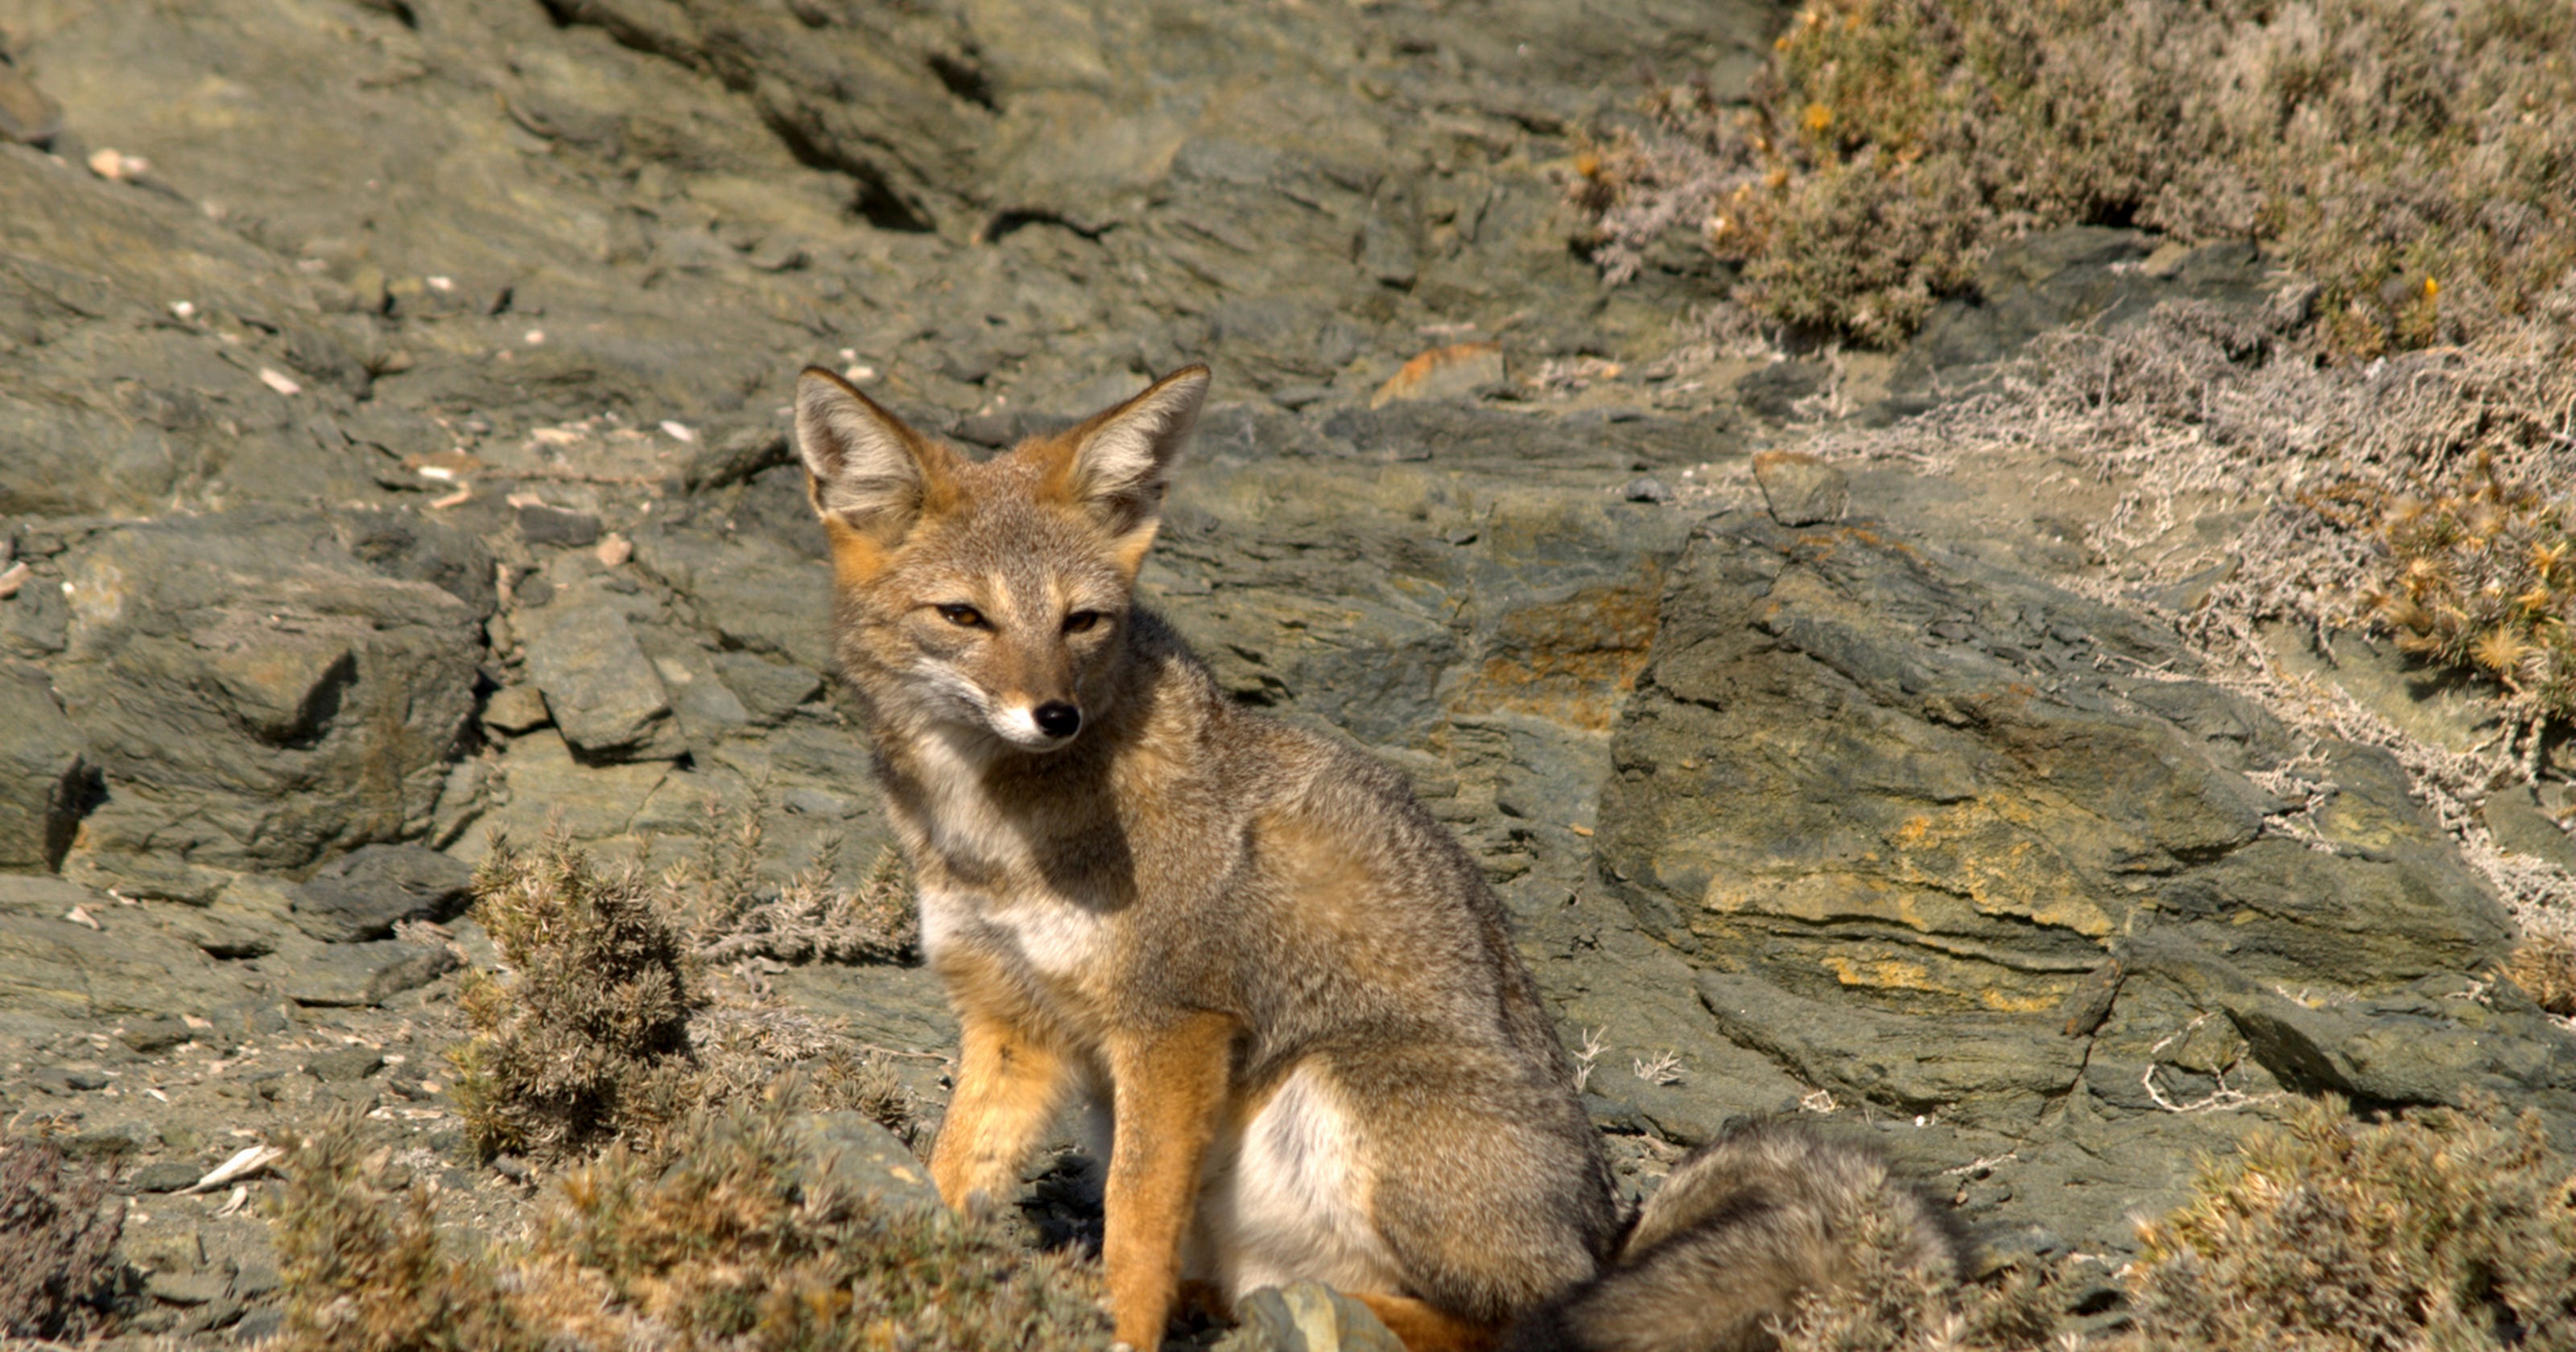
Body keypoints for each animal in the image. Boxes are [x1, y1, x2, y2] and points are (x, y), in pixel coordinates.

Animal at [789, 362, 1967, 1352]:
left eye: (1082, 622)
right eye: (964, 616)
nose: (1055, 716)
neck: (992, 832)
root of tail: (1603, 1237)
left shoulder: (1176, 1023)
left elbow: (1131, 1216)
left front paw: (1116, 1328)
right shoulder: (1013, 1025)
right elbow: (949, 1173)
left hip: (1340, 1086)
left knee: (1507, 1322)